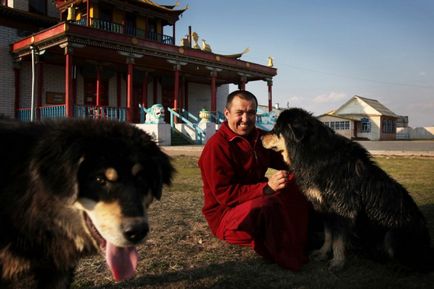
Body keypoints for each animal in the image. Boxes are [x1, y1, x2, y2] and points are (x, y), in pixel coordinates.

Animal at [262, 107, 432, 270]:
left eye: (276, 129)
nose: (260, 138)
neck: (312, 152)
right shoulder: (324, 207)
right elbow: (329, 235)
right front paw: (323, 253)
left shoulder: (343, 207)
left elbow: (338, 239)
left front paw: (337, 262)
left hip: (393, 234)